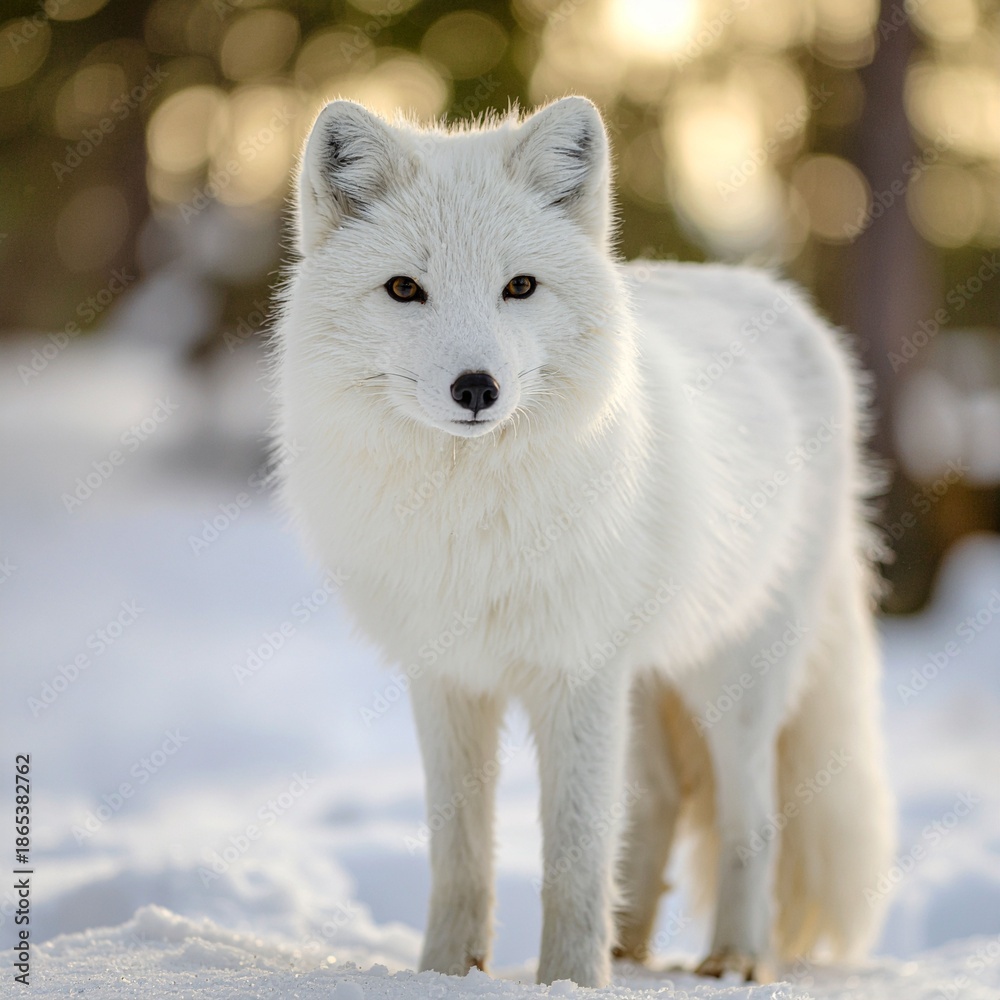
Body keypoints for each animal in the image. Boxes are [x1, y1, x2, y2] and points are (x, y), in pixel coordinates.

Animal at [273, 95, 896, 988]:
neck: (473, 523)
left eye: (519, 287)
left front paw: (568, 978)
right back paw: (629, 946)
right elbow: (460, 852)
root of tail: (787, 304)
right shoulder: (447, 678)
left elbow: (572, 853)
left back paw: (734, 958)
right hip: (645, 681)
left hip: (730, 678)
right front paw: (446, 971)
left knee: (750, 816)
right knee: (660, 800)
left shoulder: (577, 673)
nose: (476, 388)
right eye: (404, 289)